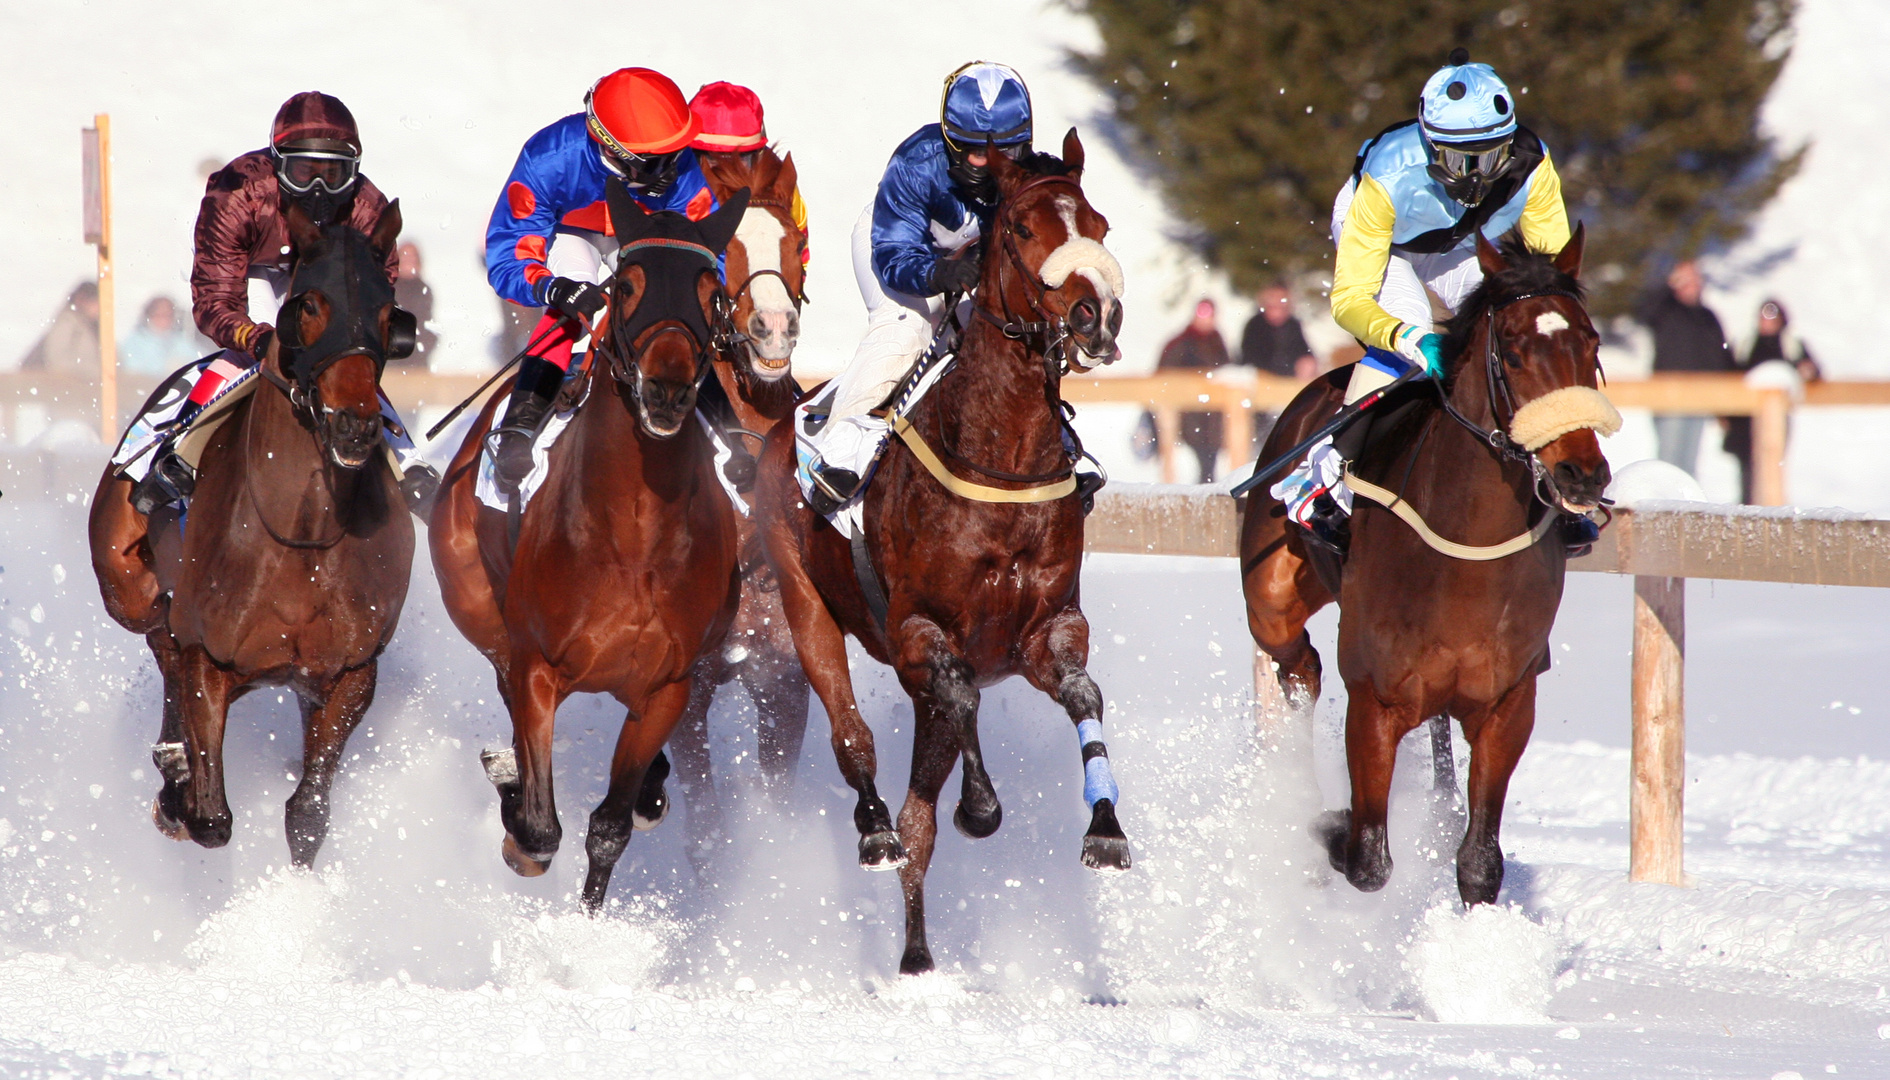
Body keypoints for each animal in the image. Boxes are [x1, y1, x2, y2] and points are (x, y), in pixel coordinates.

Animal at [88, 198, 413, 866]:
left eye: (387, 310)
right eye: (310, 305)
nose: (354, 426)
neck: (302, 532)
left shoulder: (348, 673)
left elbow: (308, 813)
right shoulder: (208, 655)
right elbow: (212, 818)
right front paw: (182, 791)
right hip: (124, 582)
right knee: (158, 636)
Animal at [432, 181, 748, 907]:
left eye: (712, 291)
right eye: (627, 285)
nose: (666, 389)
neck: (634, 535)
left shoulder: (668, 685)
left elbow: (609, 826)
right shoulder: (537, 667)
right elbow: (540, 830)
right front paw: (518, 814)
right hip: (477, 606)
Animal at [759, 131, 1126, 975]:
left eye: (1098, 224)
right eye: (1021, 230)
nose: (1096, 312)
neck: (1002, 456)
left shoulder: (1046, 630)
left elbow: (1084, 695)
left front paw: (1107, 833)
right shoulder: (916, 631)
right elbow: (960, 695)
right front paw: (982, 805)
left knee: (919, 820)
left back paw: (919, 953)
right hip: (805, 606)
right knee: (855, 741)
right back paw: (874, 830)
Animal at [1239, 227, 1610, 904]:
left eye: (1590, 343)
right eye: (1513, 351)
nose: (1582, 473)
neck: (1465, 546)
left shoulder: (1507, 701)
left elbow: (1479, 863)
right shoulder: (1376, 700)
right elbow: (1366, 856)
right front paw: (1329, 823)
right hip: (1271, 597)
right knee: (1299, 668)